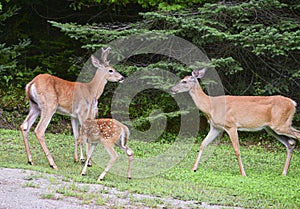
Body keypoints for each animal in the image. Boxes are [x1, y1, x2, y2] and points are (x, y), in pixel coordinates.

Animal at [171, 68, 300, 176]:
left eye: (184, 81)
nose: (172, 89)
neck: (210, 106)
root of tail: (293, 103)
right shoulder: (216, 127)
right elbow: (203, 144)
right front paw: (194, 168)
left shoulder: (231, 125)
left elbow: (236, 149)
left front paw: (243, 173)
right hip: (271, 128)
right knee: (291, 143)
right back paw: (284, 172)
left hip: (280, 124)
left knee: (297, 135)